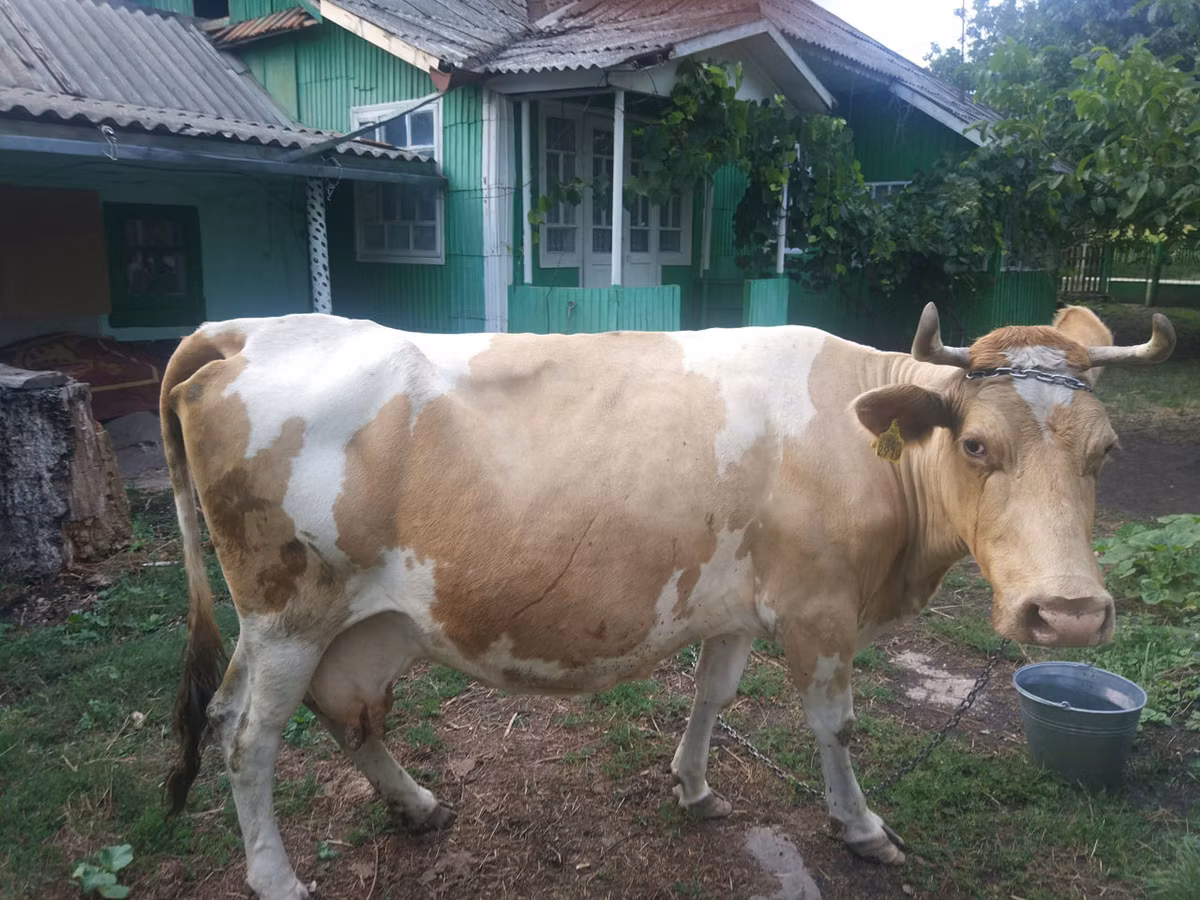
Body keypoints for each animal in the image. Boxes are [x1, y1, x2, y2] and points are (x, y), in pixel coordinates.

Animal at [161, 303, 1174, 899]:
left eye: (1108, 451)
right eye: (974, 445)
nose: (1068, 613)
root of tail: (246, 328)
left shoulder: (740, 600)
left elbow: (712, 695)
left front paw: (693, 787)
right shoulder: (819, 609)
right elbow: (836, 727)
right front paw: (860, 828)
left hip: (356, 620)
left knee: (326, 711)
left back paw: (415, 804)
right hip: (288, 606)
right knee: (248, 738)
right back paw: (276, 877)